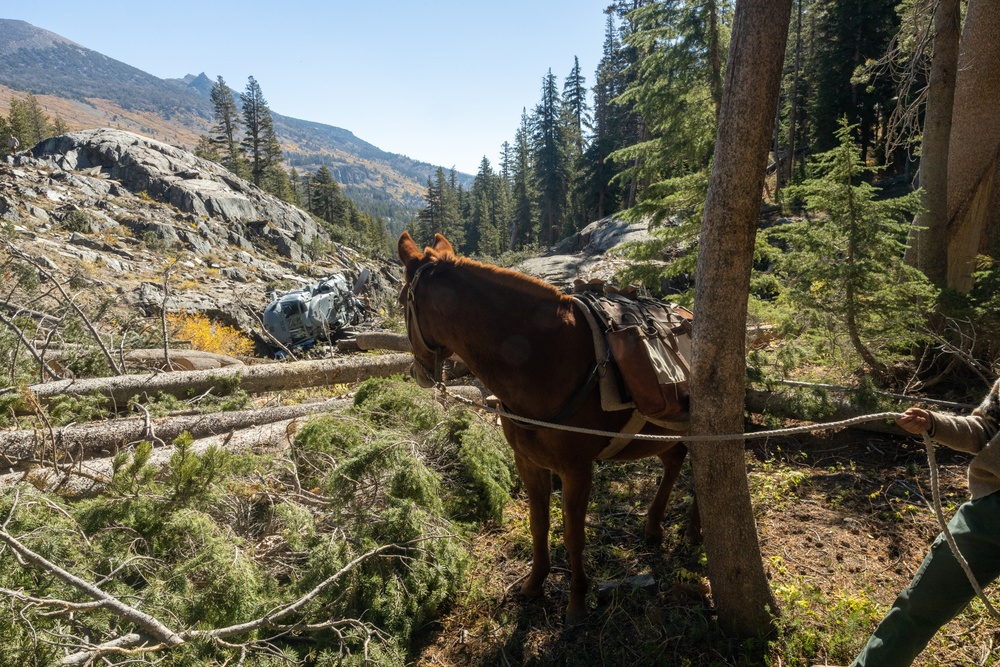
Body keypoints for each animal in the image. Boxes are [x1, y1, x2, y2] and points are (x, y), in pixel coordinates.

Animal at [394, 232, 692, 624]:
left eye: (402, 302)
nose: (417, 373)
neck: (541, 359)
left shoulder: (577, 470)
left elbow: (573, 535)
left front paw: (577, 603)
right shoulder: (528, 463)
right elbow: (539, 525)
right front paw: (534, 584)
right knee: (675, 460)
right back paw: (656, 527)